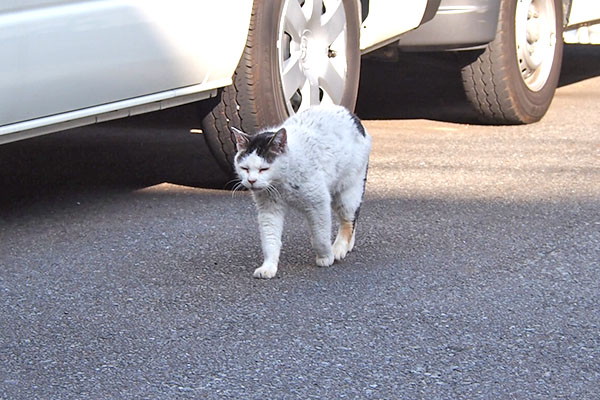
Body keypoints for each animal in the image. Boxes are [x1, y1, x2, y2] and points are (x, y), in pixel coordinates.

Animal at [231, 104, 368, 280]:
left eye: (264, 169)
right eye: (244, 168)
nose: (251, 180)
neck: (282, 183)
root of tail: (351, 114)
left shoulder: (318, 204)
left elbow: (320, 236)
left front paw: (326, 257)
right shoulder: (269, 209)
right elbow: (270, 240)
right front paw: (268, 267)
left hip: (348, 192)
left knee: (349, 221)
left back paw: (339, 248)